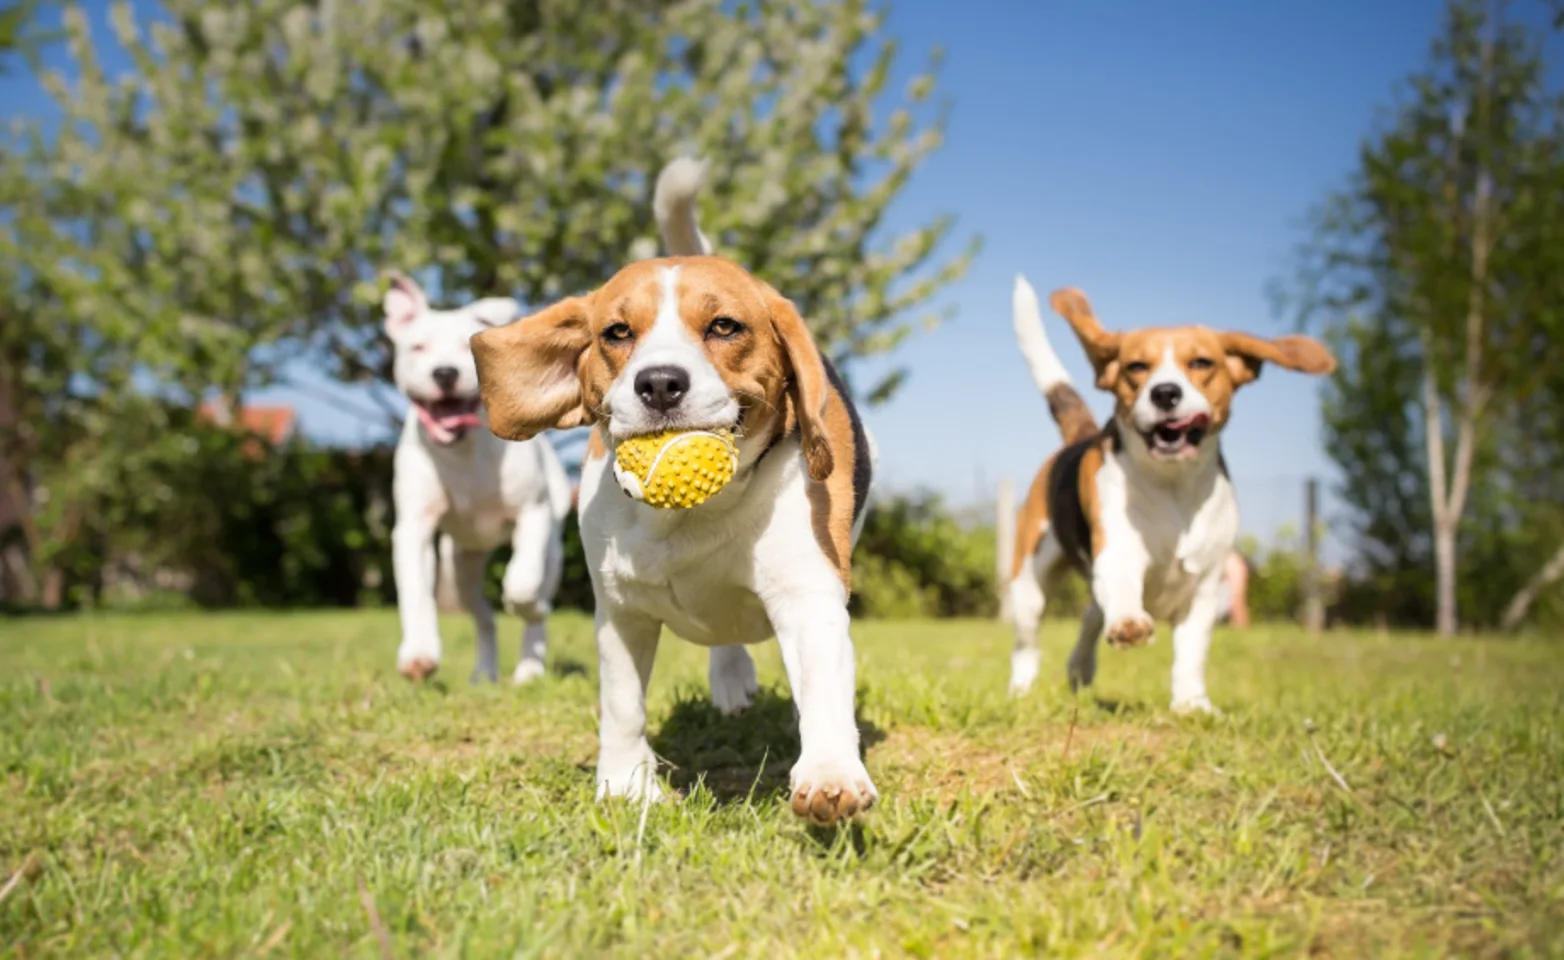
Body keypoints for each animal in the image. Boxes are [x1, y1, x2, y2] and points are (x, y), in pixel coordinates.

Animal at [383, 275, 569, 687]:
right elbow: (415, 592)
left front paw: (525, 602)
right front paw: (419, 654)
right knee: (483, 616)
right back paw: (484, 673)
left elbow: (522, 583)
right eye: (417, 346)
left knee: (536, 602)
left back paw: (529, 667)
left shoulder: (532, 513)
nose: (445, 373)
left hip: (552, 550)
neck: (463, 451)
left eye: (466, 348)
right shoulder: (414, 528)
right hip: (461, 567)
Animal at [462, 160, 882, 825]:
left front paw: (829, 774)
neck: (690, 518)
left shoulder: (808, 595)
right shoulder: (620, 612)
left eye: (724, 326)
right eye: (616, 332)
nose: (659, 383)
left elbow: (821, 688)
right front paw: (624, 785)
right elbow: (622, 705)